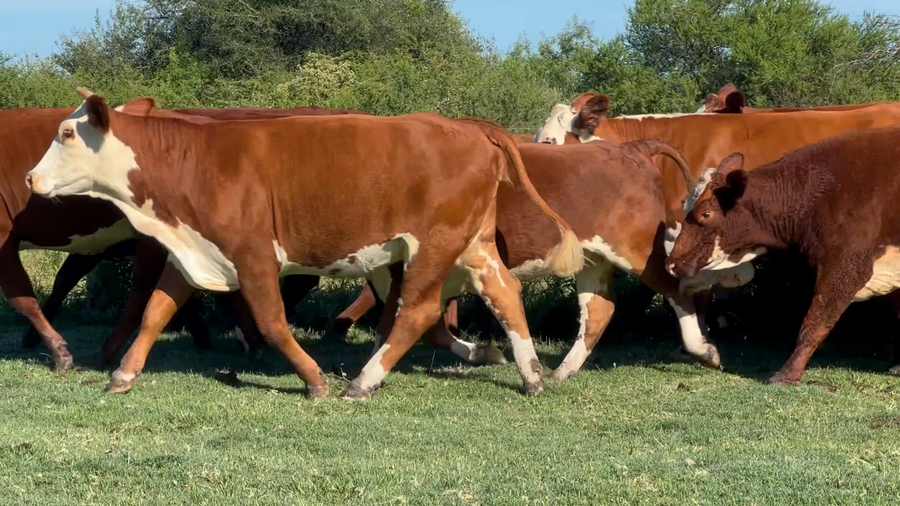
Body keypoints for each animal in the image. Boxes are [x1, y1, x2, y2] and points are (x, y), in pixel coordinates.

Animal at [26, 88, 583, 399]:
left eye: (68, 134)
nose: (30, 178)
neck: (194, 161)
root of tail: (466, 128)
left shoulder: (252, 256)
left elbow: (272, 323)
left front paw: (314, 380)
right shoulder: (193, 252)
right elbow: (155, 312)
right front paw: (123, 375)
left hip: (433, 245)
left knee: (419, 312)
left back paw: (363, 381)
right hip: (473, 243)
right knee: (504, 292)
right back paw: (531, 375)